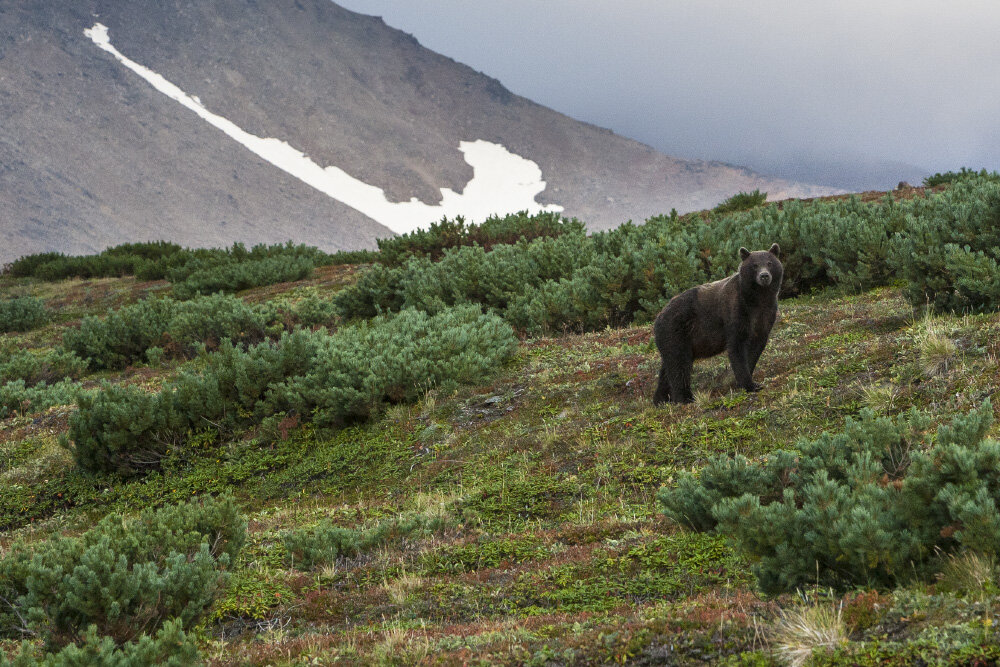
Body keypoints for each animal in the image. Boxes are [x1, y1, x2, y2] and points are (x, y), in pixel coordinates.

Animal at [652, 244, 784, 404]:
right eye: (755, 265)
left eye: (769, 263)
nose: (764, 276)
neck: (758, 298)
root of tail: (658, 317)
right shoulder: (737, 310)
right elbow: (737, 346)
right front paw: (749, 384)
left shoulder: (766, 314)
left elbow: (756, 346)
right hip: (676, 331)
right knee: (679, 365)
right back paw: (685, 397)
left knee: (667, 368)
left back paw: (661, 399)